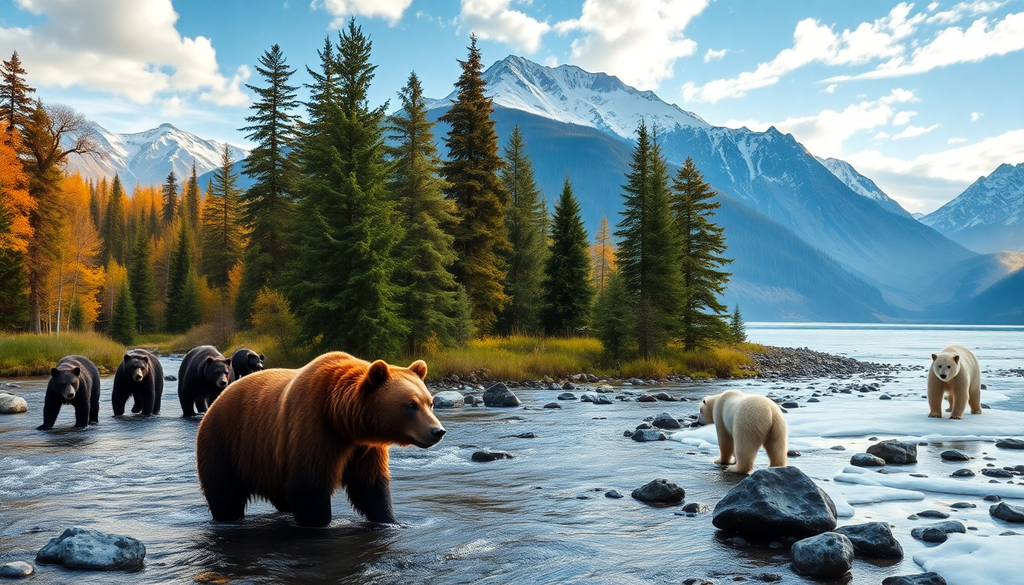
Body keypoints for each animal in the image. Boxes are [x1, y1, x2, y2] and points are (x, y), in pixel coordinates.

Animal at [195, 352, 446, 527]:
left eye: (429, 402)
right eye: (411, 405)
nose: (438, 431)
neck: (341, 419)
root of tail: (218, 400)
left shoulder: (364, 447)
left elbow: (371, 486)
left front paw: (391, 519)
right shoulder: (312, 427)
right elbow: (310, 486)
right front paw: (319, 522)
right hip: (225, 443)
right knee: (224, 493)